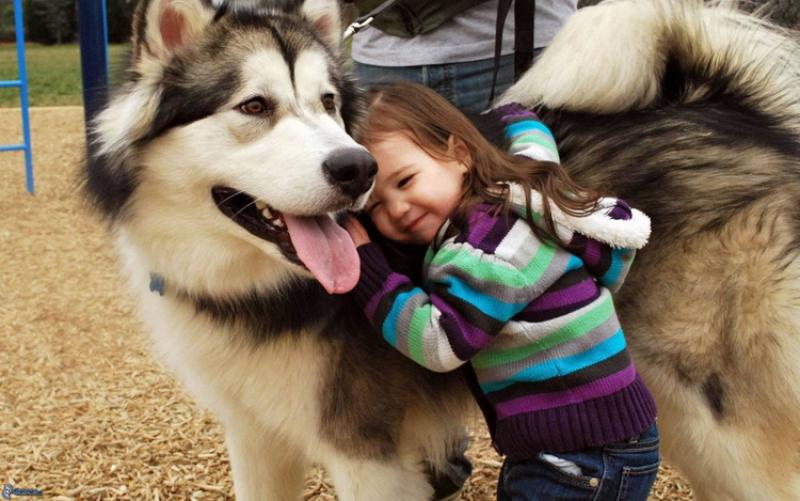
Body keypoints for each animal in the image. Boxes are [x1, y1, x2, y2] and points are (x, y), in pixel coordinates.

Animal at [82, 0, 800, 499]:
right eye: (254, 105)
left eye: (328, 103)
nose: (357, 169)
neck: (258, 286)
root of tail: (736, 113)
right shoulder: (257, 437)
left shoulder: (365, 451)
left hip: (727, 424)